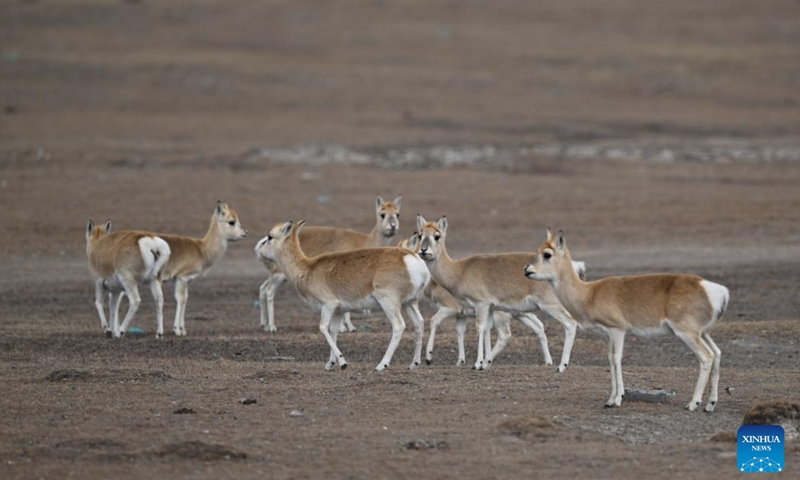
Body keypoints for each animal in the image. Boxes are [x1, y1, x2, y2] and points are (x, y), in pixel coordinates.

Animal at [256, 220, 429, 371]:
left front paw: (343, 362)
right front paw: (330, 364)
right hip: (409, 303)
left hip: (389, 303)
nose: (259, 249)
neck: (309, 269)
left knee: (399, 326)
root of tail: (412, 259)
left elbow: (323, 328)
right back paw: (414, 364)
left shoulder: (328, 305)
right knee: (419, 323)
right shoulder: (339, 311)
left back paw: (381, 365)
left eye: (270, 236)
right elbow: (333, 332)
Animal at [258, 195, 402, 333]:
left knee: (263, 288)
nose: (393, 226)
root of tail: (259, 245)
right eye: (382, 214)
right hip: (278, 276)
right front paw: (345, 327)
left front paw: (347, 326)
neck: (366, 240)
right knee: (269, 292)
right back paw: (272, 327)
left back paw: (264, 325)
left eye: (397, 213)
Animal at [416, 215, 580, 372]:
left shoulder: (480, 305)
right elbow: (487, 331)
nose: (423, 250)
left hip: (551, 306)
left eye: (437, 236)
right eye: (420, 234)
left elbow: (479, 328)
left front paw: (477, 364)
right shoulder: (488, 308)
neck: (460, 270)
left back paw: (562, 366)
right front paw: (485, 363)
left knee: (570, 324)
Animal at [524, 230, 729, 412]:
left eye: (547, 254)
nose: (527, 270)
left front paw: (616, 400)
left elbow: (616, 359)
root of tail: (715, 290)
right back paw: (710, 405)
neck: (588, 293)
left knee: (706, 357)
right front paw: (611, 398)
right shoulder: (608, 335)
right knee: (717, 353)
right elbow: (610, 359)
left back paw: (693, 404)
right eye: (537, 250)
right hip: (703, 333)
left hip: (687, 333)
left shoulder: (617, 330)